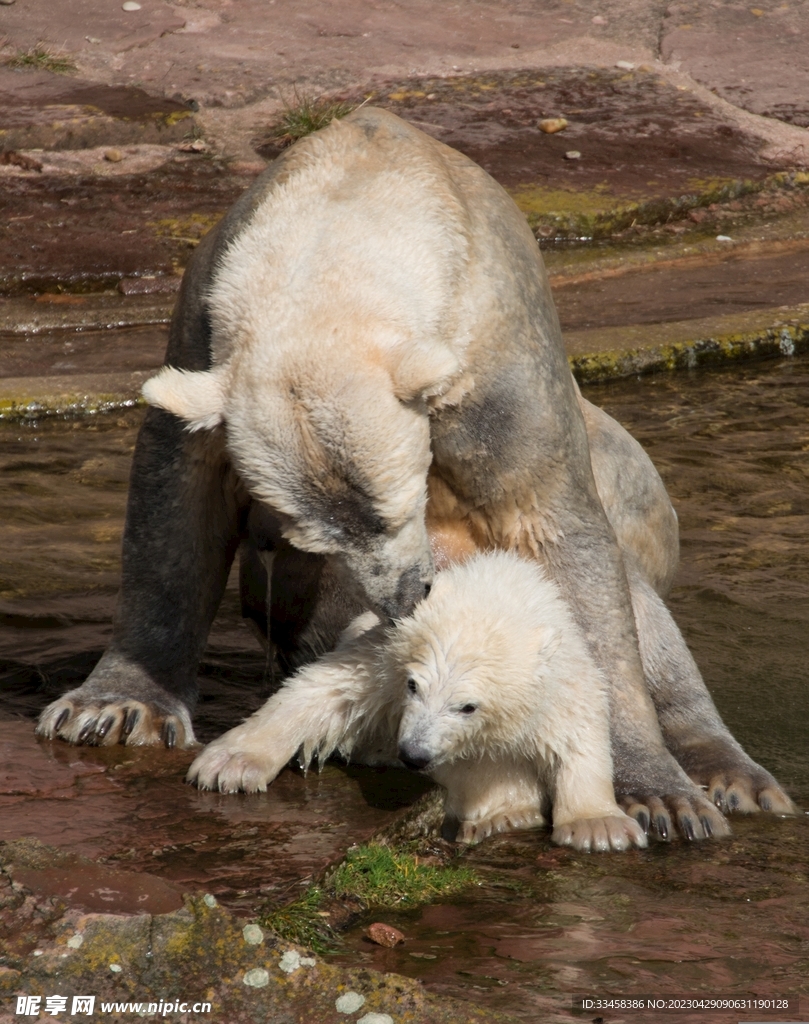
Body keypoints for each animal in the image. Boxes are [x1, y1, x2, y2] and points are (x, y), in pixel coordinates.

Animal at [187, 550, 650, 853]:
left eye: (467, 706)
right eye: (414, 686)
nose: (413, 754)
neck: (501, 588)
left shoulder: (560, 685)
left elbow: (579, 736)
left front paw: (599, 826)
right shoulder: (384, 656)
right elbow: (325, 691)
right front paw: (231, 765)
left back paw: (503, 815)